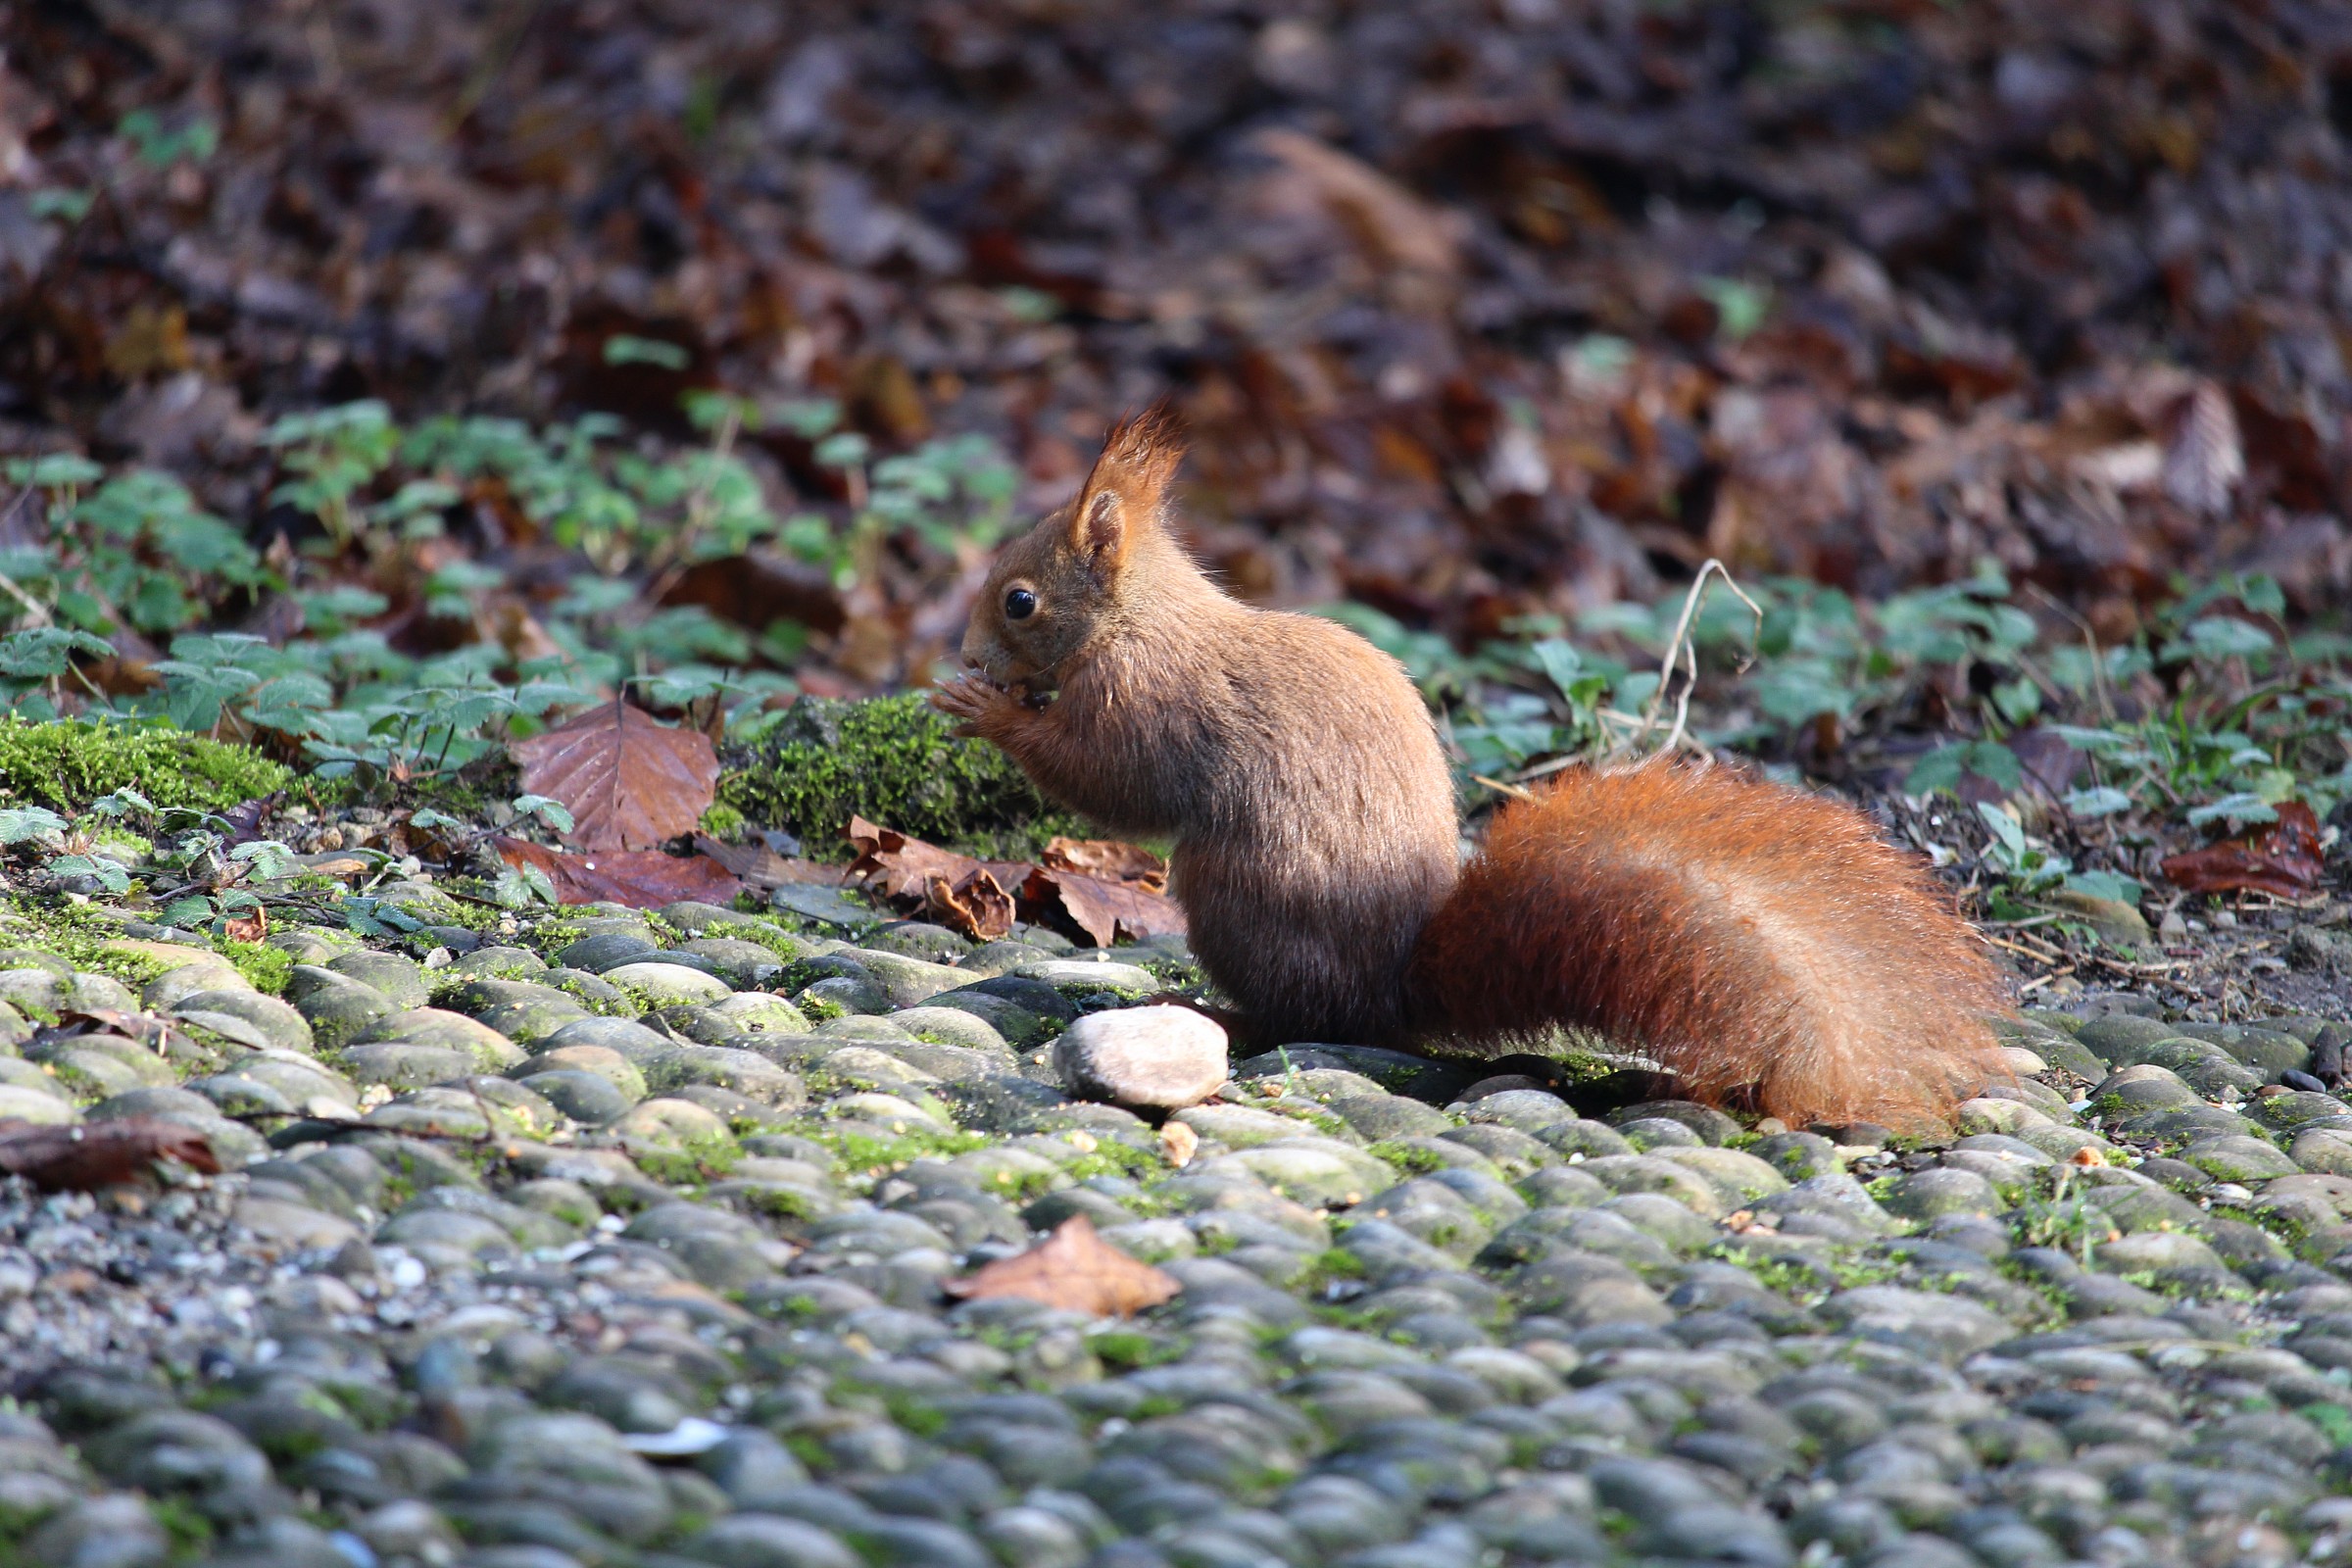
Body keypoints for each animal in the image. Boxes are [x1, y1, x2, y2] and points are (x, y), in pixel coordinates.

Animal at [933, 408, 2010, 1129]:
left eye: (1020, 600)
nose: (971, 651)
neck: (1140, 619)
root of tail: (1397, 988)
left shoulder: (1148, 698)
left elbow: (1110, 782)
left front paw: (985, 712)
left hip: (1234, 890)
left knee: (1298, 1014)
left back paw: (1213, 1009)